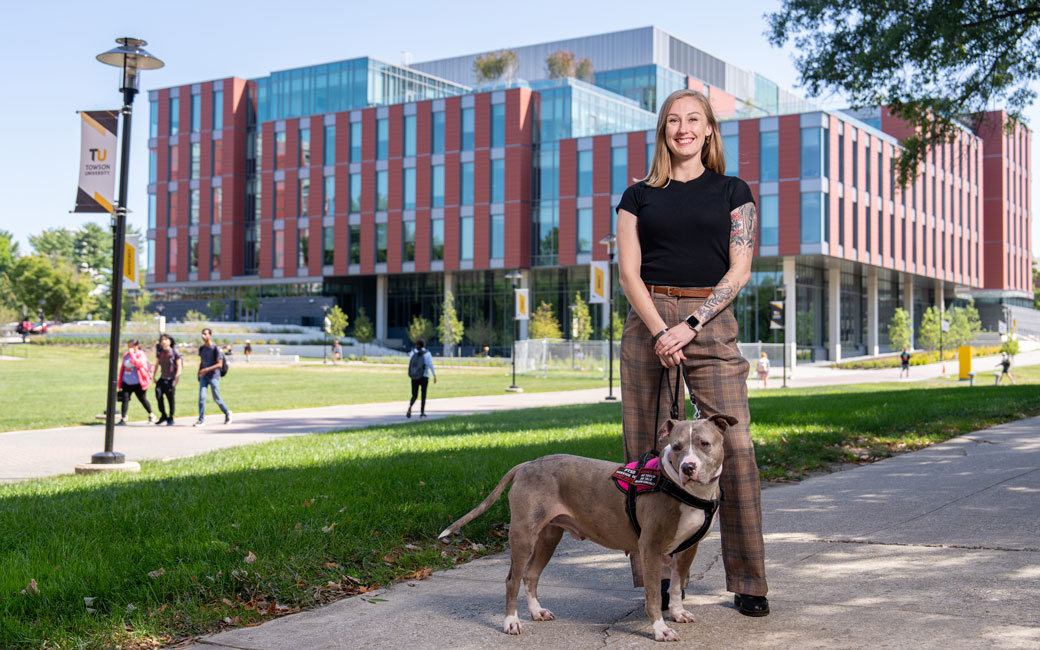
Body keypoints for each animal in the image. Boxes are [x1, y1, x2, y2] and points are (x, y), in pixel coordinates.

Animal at [438, 413, 732, 640]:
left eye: (704, 444)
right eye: (677, 446)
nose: (688, 467)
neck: (685, 490)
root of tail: (527, 464)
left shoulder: (688, 549)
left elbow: (675, 586)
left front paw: (678, 612)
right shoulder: (650, 548)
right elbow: (653, 594)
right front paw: (660, 629)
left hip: (549, 537)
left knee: (530, 574)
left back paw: (536, 612)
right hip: (523, 535)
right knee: (513, 579)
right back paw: (511, 622)